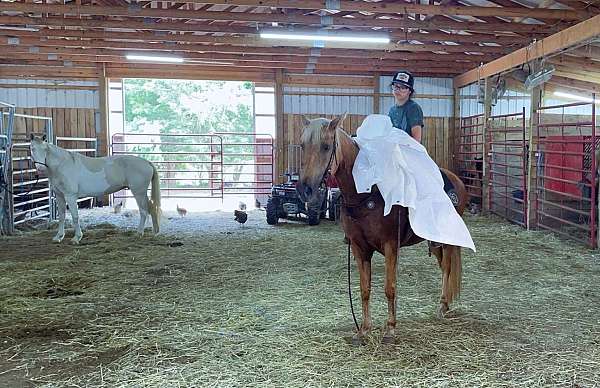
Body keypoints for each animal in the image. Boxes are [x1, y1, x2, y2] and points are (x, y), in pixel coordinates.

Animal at [29, 133, 162, 242]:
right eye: (32, 148)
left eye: (45, 149)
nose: (40, 168)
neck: (62, 165)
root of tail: (147, 162)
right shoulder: (60, 196)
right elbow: (62, 216)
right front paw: (59, 237)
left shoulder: (70, 196)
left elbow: (75, 216)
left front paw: (77, 238)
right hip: (141, 193)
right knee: (151, 208)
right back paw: (155, 232)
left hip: (138, 192)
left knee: (144, 211)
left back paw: (139, 233)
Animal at [298, 114, 472, 342]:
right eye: (302, 146)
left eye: (326, 146)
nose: (305, 190)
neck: (367, 192)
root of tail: (457, 180)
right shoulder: (359, 248)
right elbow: (365, 289)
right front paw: (364, 329)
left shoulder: (390, 245)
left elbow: (390, 287)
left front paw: (390, 329)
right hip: (433, 242)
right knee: (443, 266)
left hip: (447, 240)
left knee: (448, 268)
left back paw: (443, 305)